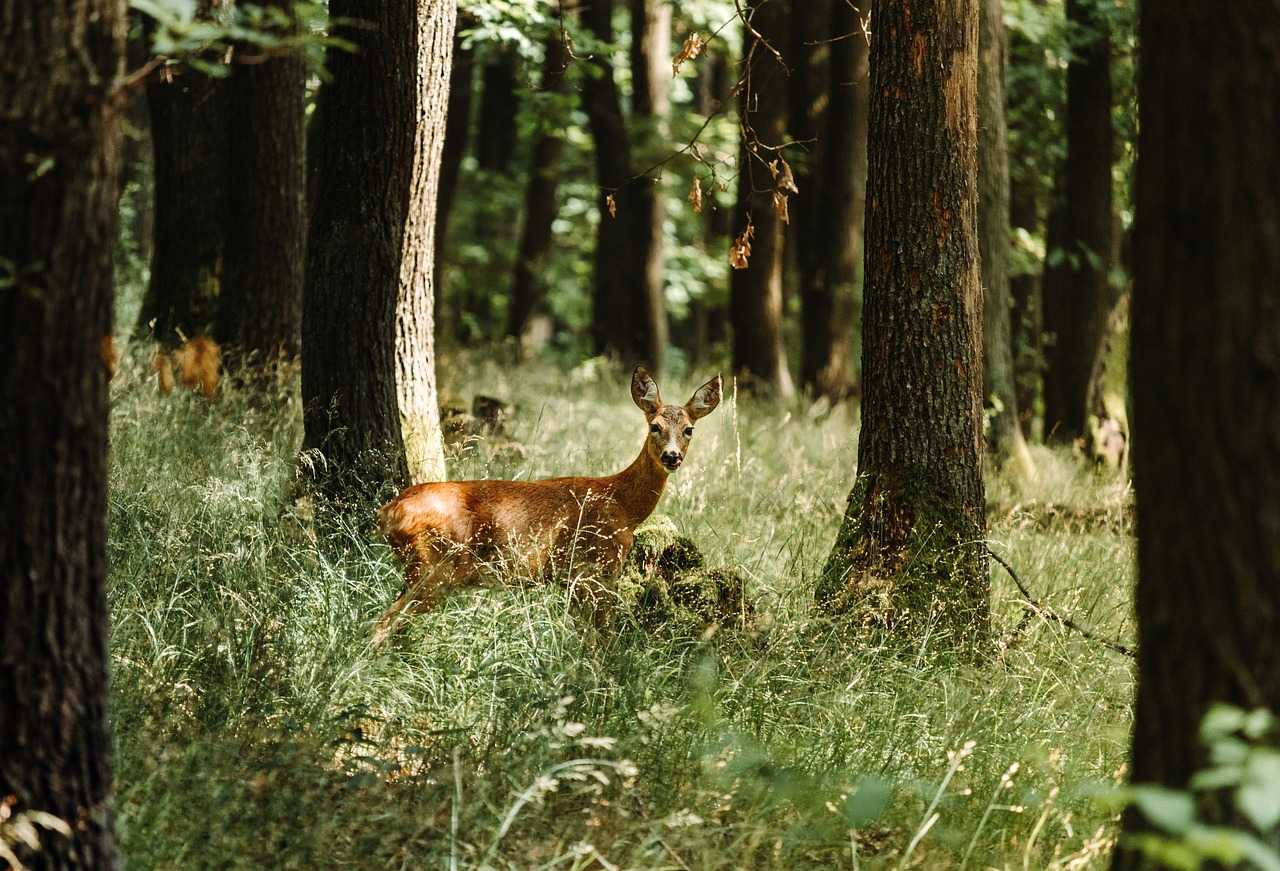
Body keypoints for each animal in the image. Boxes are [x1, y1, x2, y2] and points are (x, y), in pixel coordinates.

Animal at [371, 363, 727, 643]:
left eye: (689, 430)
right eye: (655, 426)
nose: (672, 456)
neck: (624, 505)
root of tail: (388, 512)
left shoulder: (572, 580)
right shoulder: (591, 570)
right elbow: (603, 639)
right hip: (434, 566)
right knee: (384, 622)